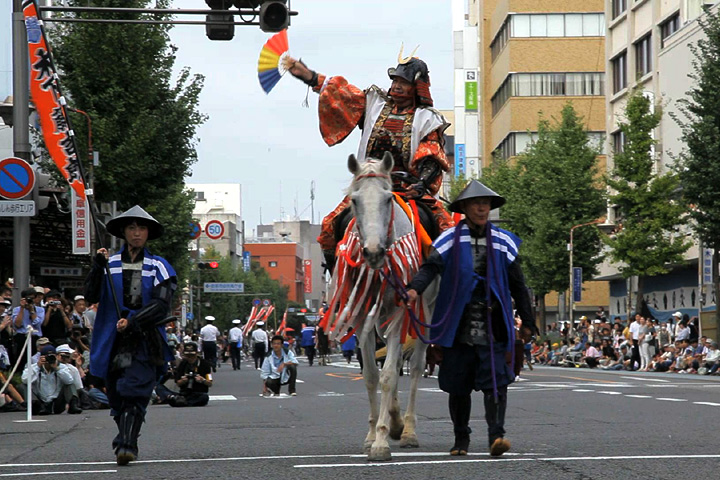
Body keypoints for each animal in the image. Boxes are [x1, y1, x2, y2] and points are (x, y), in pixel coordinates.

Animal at [324, 153, 436, 462]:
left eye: (387, 199)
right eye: (354, 200)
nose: (373, 252)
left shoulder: (400, 309)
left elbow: (387, 375)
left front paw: (382, 442)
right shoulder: (363, 313)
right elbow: (372, 375)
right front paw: (373, 434)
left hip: (425, 308)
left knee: (416, 366)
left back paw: (407, 430)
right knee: (396, 362)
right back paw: (396, 421)